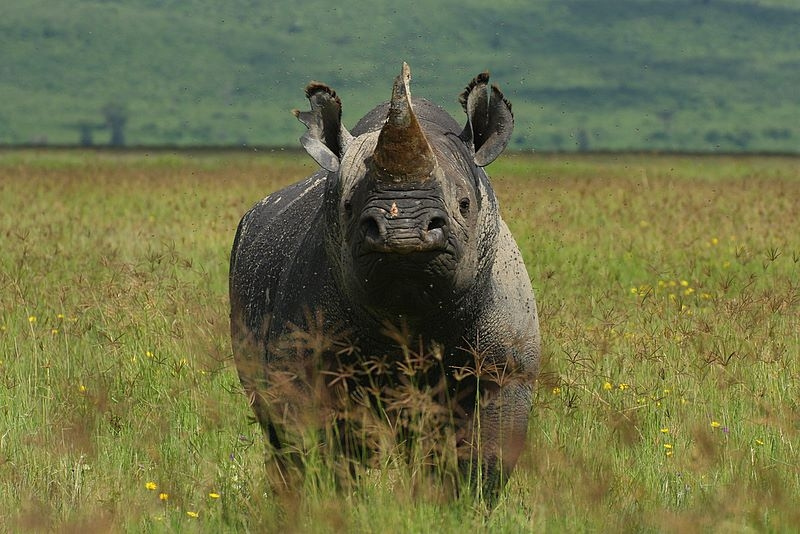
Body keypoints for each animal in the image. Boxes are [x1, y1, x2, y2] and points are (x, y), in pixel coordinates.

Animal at [229, 63, 540, 501]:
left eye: (465, 205)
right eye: (346, 206)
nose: (403, 233)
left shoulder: (504, 368)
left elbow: (484, 461)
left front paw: (457, 506)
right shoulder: (304, 363)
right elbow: (322, 452)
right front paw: (333, 503)